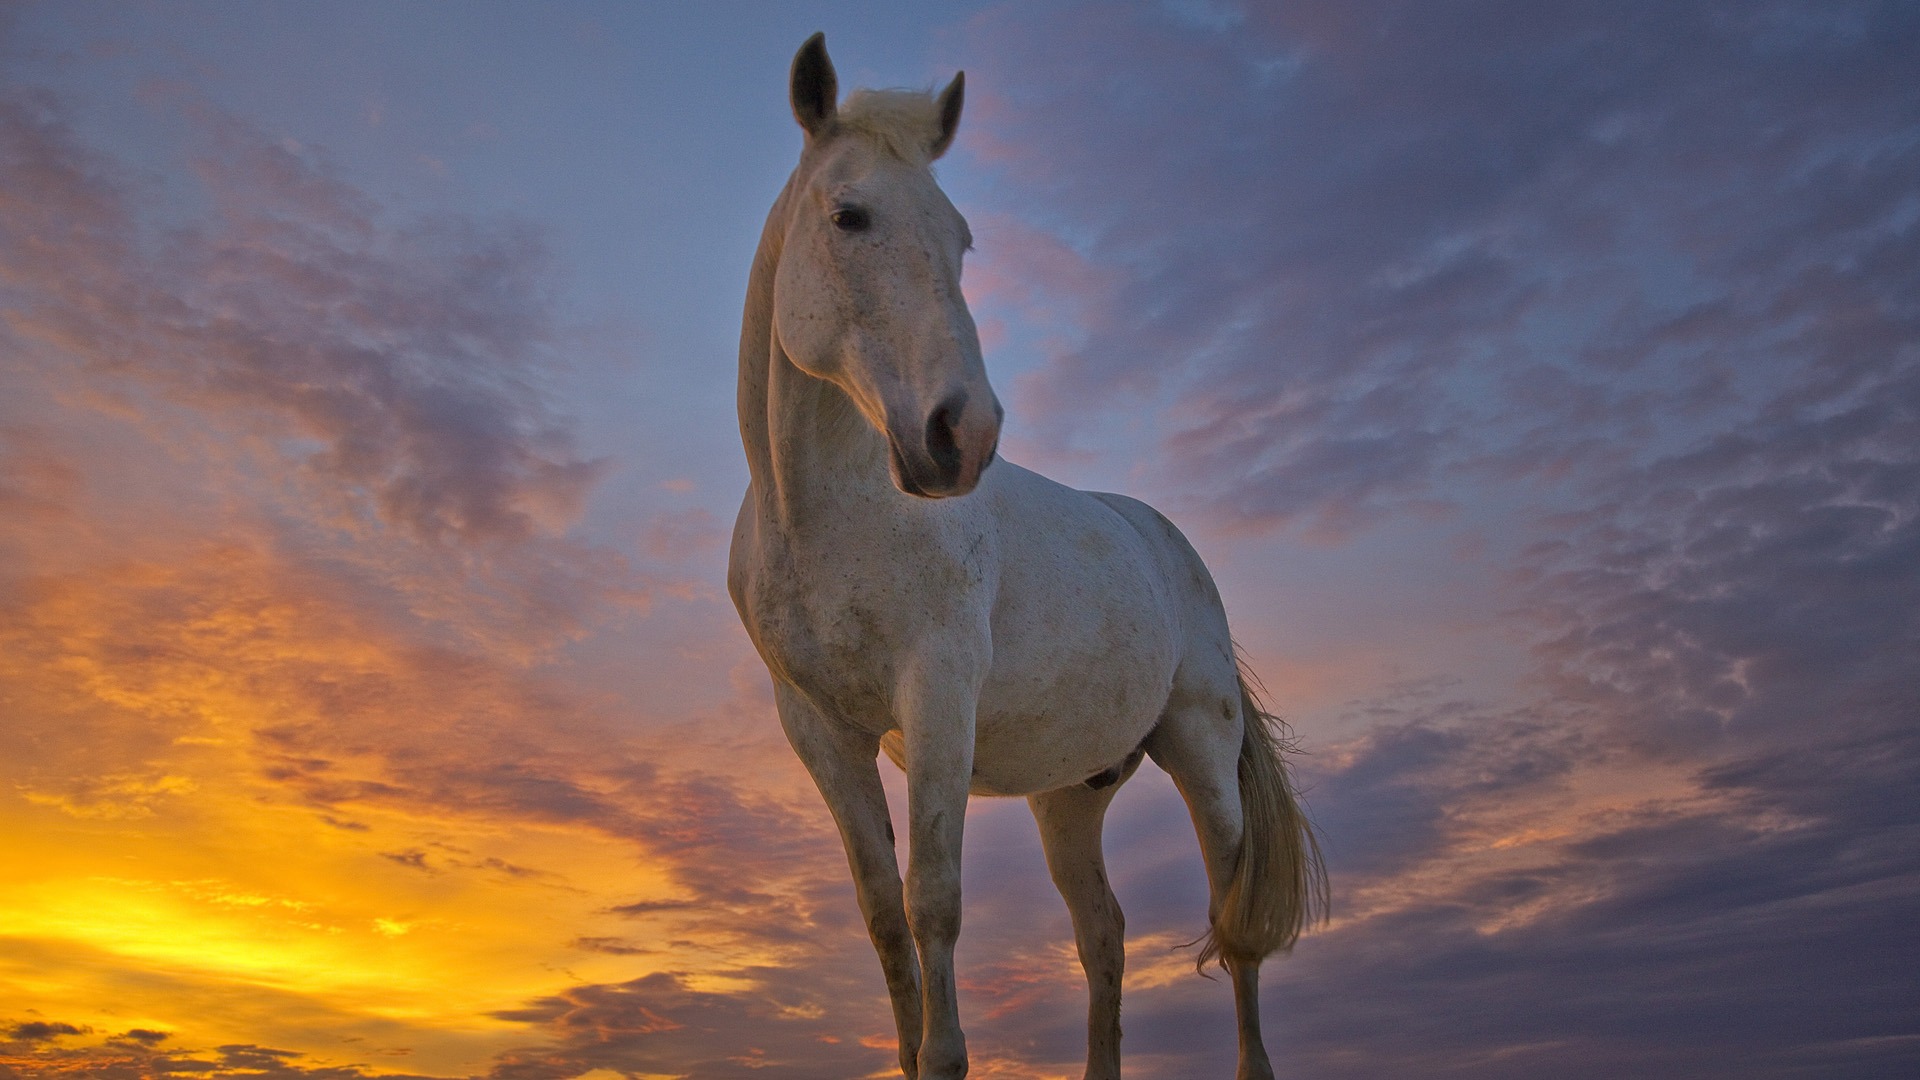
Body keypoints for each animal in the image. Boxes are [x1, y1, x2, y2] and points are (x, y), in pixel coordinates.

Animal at [725, 33, 1328, 1076]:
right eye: (849, 215)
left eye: (962, 239)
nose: (961, 435)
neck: (822, 519)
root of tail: (1166, 542)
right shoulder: (820, 733)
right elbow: (884, 917)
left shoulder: (936, 701)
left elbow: (934, 901)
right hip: (1068, 797)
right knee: (1104, 934)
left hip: (1201, 750)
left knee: (1234, 924)